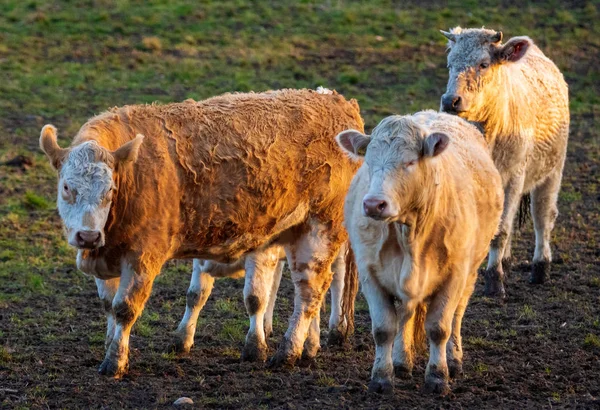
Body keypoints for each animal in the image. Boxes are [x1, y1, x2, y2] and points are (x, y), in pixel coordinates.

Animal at [338, 111, 502, 394]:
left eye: (410, 162)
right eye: (368, 161)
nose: (373, 204)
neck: (409, 232)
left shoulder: (454, 275)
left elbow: (439, 328)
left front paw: (437, 377)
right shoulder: (371, 274)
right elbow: (384, 328)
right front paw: (382, 377)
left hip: (471, 272)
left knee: (457, 314)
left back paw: (454, 359)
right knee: (407, 312)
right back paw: (402, 361)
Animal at [438, 28, 568, 298]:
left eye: (483, 64)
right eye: (449, 63)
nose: (450, 100)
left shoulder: (514, 176)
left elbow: (501, 231)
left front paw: (494, 282)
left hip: (553, 170)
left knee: (543, 217)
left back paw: (540, 268)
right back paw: (506, 262)